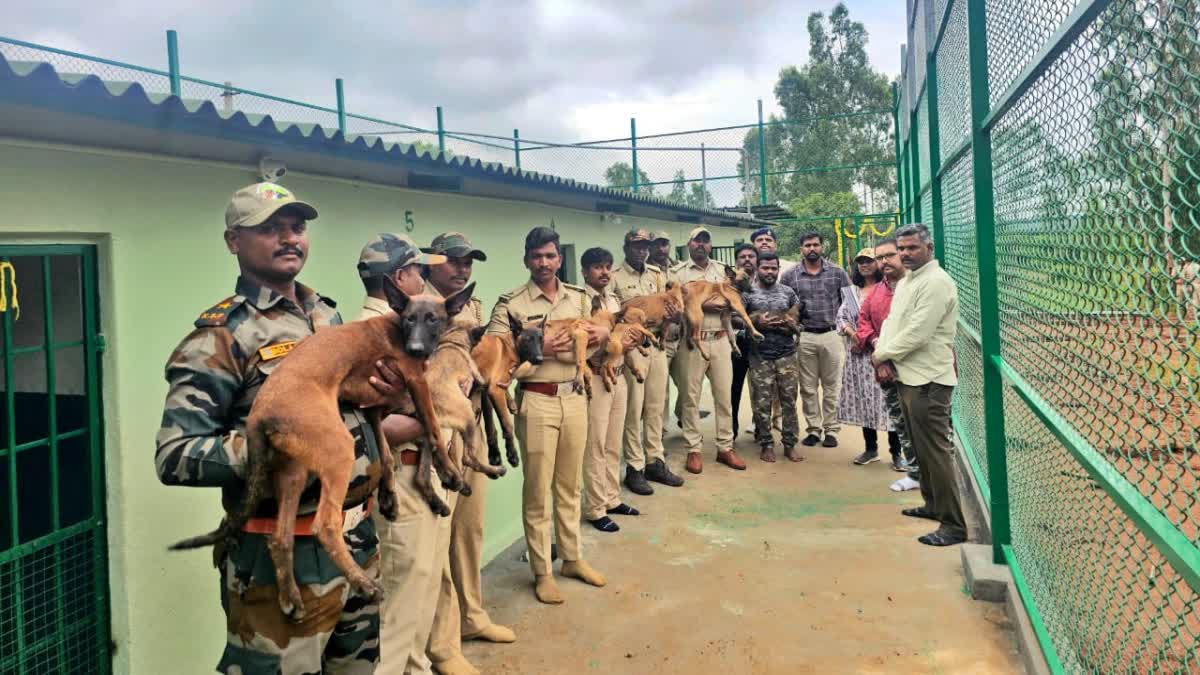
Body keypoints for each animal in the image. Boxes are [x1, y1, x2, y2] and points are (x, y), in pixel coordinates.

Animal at [170, 278, 477, 619]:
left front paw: (389, 496)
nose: (416, 349)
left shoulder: (375, 406)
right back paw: (362, 584)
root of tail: (260, 413)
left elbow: (386, 454)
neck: (394, 327)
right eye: (410, 319)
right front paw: (450, 472)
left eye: (433, 319)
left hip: (293, 472)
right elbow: (432, 428)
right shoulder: (412, 383)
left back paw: (290, 596)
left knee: (280, 537)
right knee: (324, 525)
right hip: (338, 450)